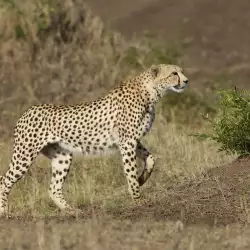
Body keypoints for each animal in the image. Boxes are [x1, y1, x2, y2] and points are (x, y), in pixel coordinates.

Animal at [0, 64, 188, 215]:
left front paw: (142, 179)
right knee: (4, 180)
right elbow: (130, 170)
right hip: (24, 155)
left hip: (62, 156)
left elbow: (151, 159)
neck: (151, 91)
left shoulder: (132, 140)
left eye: (181, 71)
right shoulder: (127, 141)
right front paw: (137, 197)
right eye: (174, 73)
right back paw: (4, 212)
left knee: (54, 188)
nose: (186, 81)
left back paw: (70, 210)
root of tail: (26, 112)